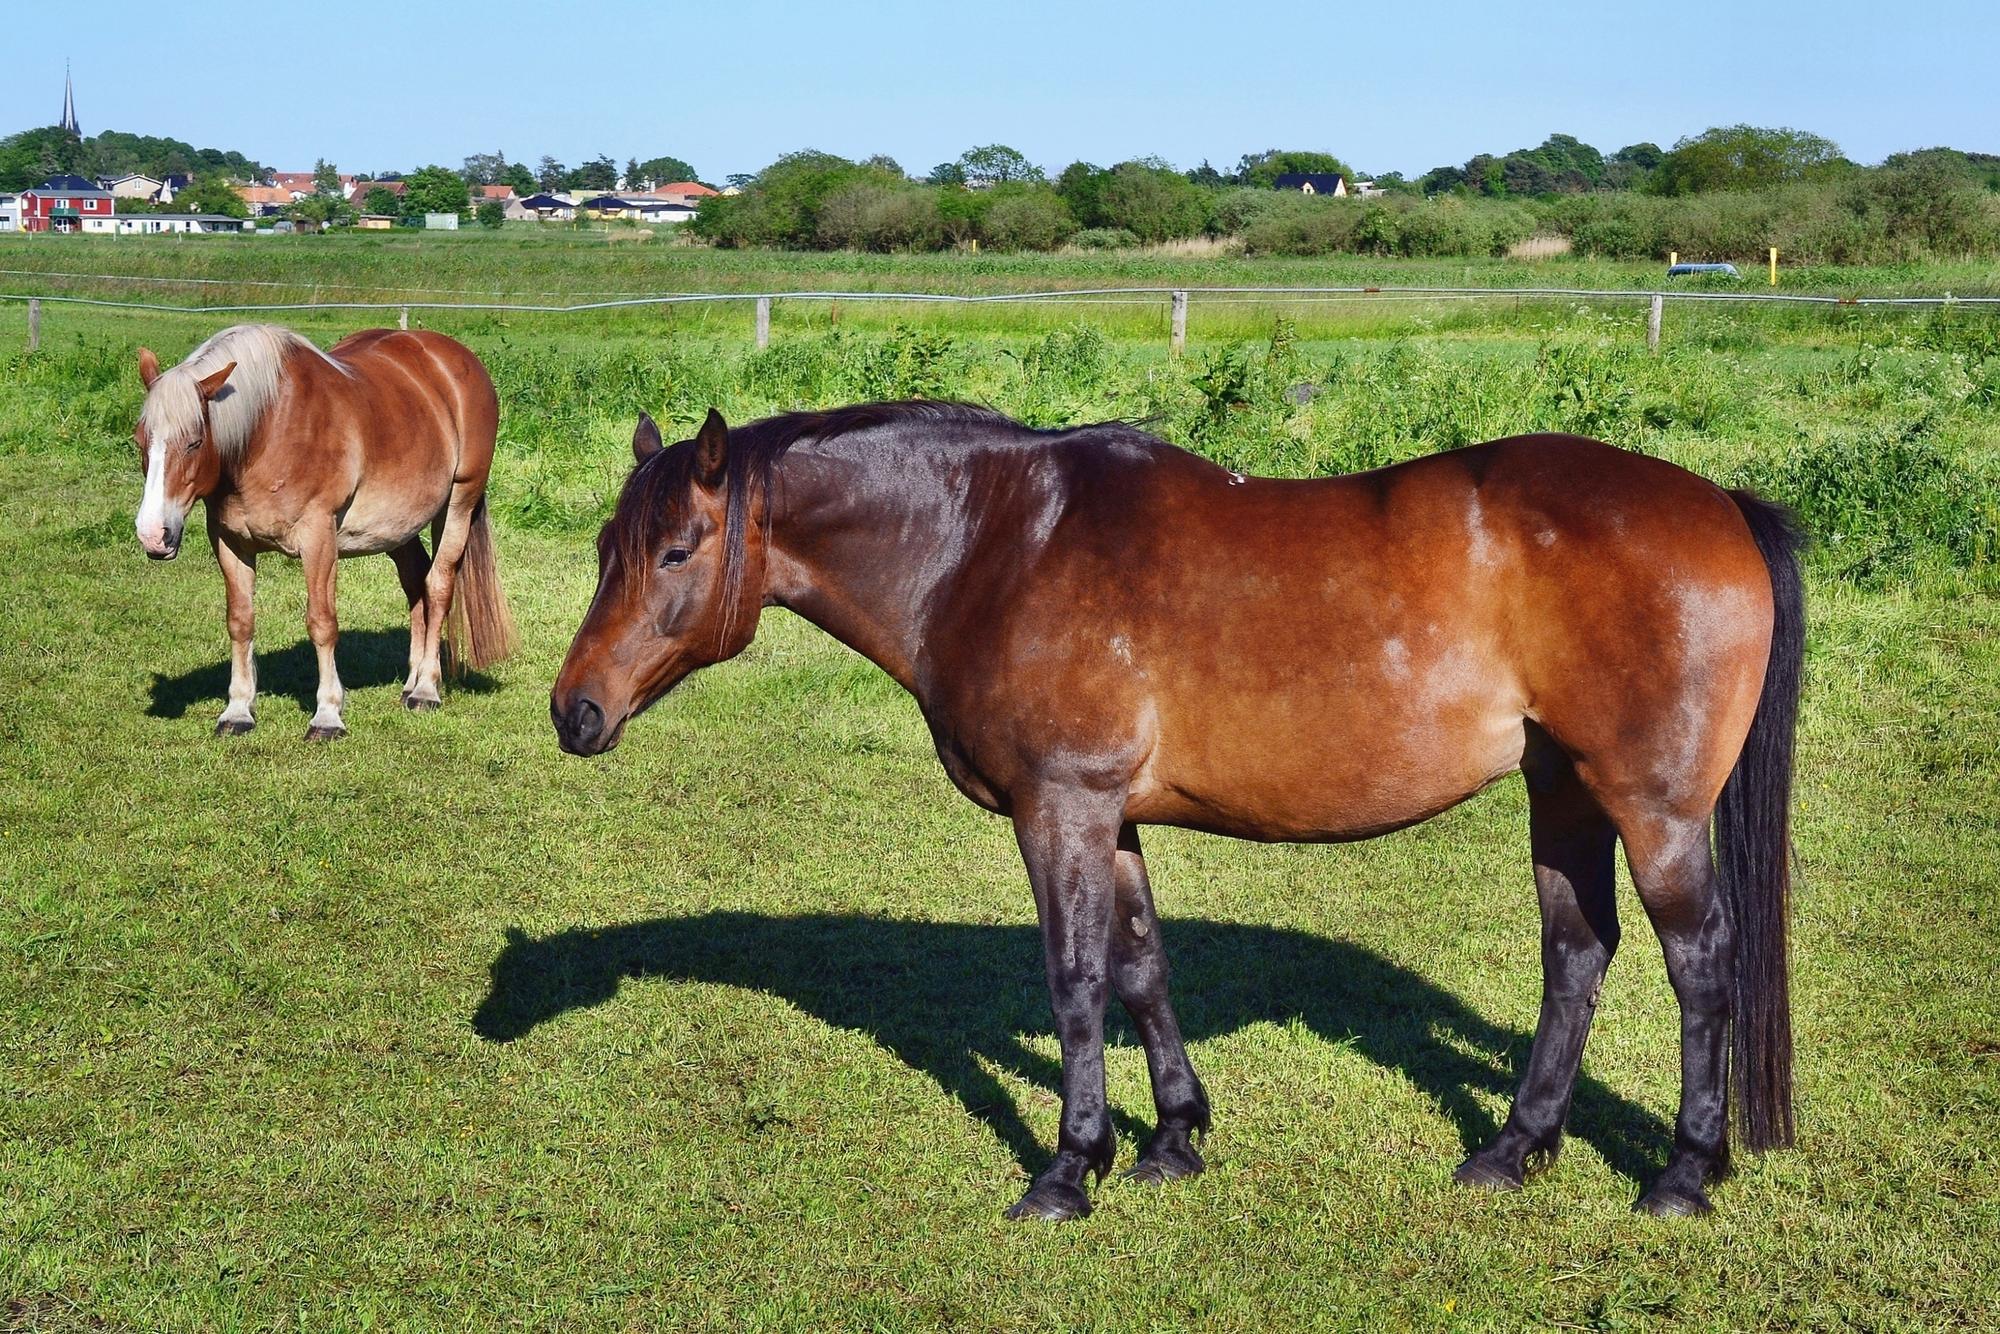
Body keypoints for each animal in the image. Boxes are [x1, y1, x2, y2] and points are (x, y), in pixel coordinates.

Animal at [132, 324, 516, 739]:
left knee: (439, 585)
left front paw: (328, 715)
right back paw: (411, 681)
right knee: (416, 583)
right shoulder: (231, 543)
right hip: (398, 526)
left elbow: (322, 622)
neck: (268, 429)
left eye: (195, 442)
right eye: (140, 440)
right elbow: (240, 621)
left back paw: (426, 689)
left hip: (459, 503)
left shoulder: (318, 539)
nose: (153, 534)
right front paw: (237, 710)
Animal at [549, 402, 1804, 1222]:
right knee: (1574, 952)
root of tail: (1715, 504)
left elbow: (1073, 981)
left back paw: (1681, 1172)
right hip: (1562, 792)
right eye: (609, 547)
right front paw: (1171, 1139)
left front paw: (1069, 1167)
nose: (574, 709)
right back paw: (1514, 1145)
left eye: (674, 548)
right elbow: (1142, 967)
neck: (991, 539)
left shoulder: (1058, 806)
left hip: (1650, 809)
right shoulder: (1111, 818)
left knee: (1698, 963)